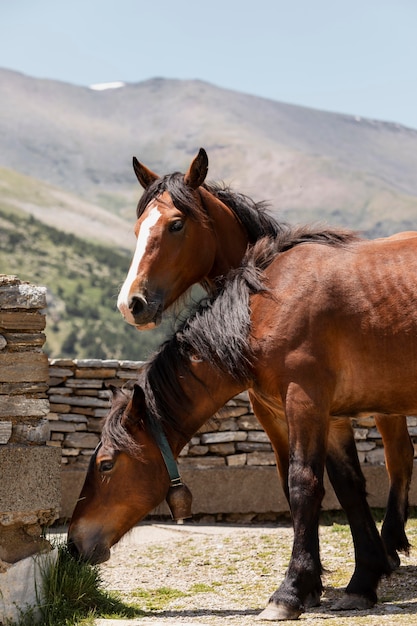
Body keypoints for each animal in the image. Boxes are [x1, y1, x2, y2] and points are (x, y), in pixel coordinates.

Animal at [69, 235, 417, 620]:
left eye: (106, 465)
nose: (73, 543)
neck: (266, 309)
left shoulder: (305, 401)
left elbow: (303, 485)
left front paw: (290, 592)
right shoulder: (331, 416)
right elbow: (350, 489)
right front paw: (362, 582)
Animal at [115, 149, 414, 564]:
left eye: (176, 225)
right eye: (137, 228)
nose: (131, 304)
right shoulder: (273, 416)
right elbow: (297, 483)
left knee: (399, 457)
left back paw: (392, 542)